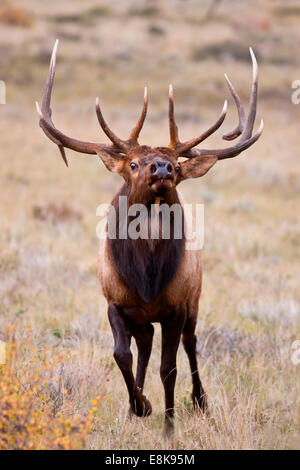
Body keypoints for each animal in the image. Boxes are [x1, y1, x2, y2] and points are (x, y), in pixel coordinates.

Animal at [37, 42, 262, 436]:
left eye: (177, 164)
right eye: (133, 164)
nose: (163, 167)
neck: (147, 277)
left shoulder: (176, 306)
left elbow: (169, 368)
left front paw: (169, 425)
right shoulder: (114, 300)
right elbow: (121, 354)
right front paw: (140, 406)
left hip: (194, 296)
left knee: (190, 343)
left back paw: (200, 402)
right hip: (141, 316)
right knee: (143, 346)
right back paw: (135, 407)